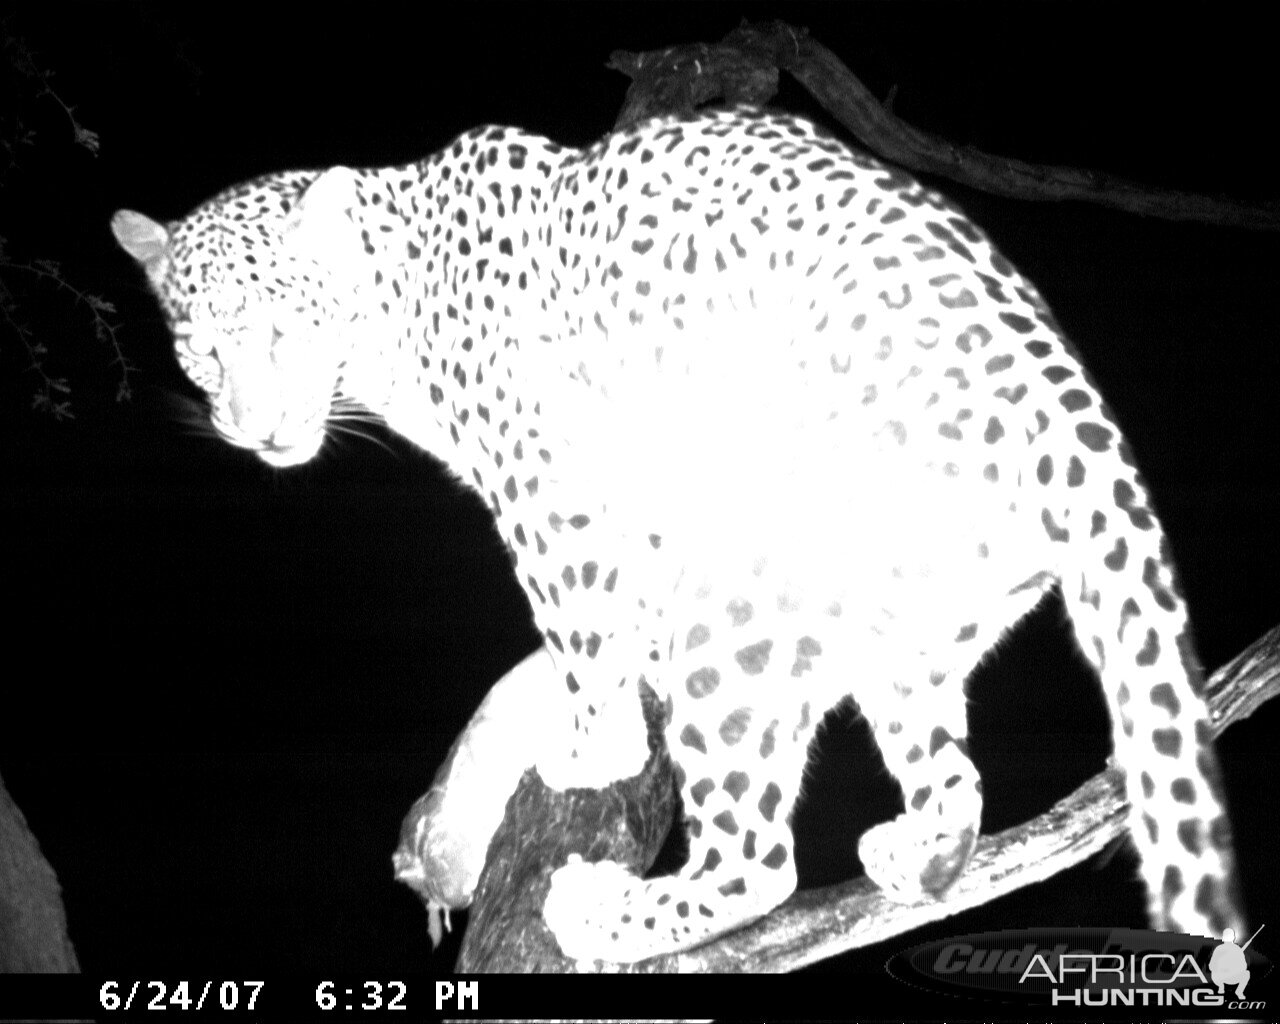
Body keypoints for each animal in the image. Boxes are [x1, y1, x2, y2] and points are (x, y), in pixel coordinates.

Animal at [117, 108, 1239, 962]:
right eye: (198, 351)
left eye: (279, 331)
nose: (253, 431)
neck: (394, 307)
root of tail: (1067, 412)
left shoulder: (548, 480)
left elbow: (575, 621)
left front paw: (591, 742)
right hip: (904, 619)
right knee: (952, 783)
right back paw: (913, 850)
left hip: (747, 588)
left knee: (758, 860)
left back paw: (601, 912)